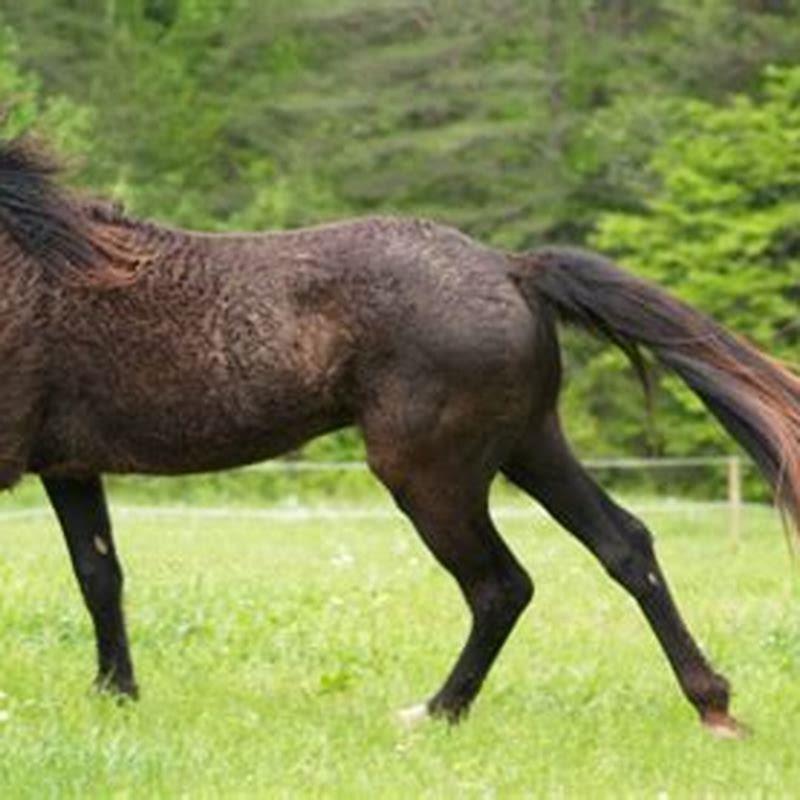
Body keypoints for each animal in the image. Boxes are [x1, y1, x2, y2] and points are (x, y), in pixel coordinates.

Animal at [0, 138, 798, 738]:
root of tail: (511, 269)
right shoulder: (68, 467)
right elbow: (99, 575)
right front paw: (116, 697)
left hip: (429, 474)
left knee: (502, 586)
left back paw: (434, 712)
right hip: (530, 445)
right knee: (624, 544)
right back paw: (713, 705)